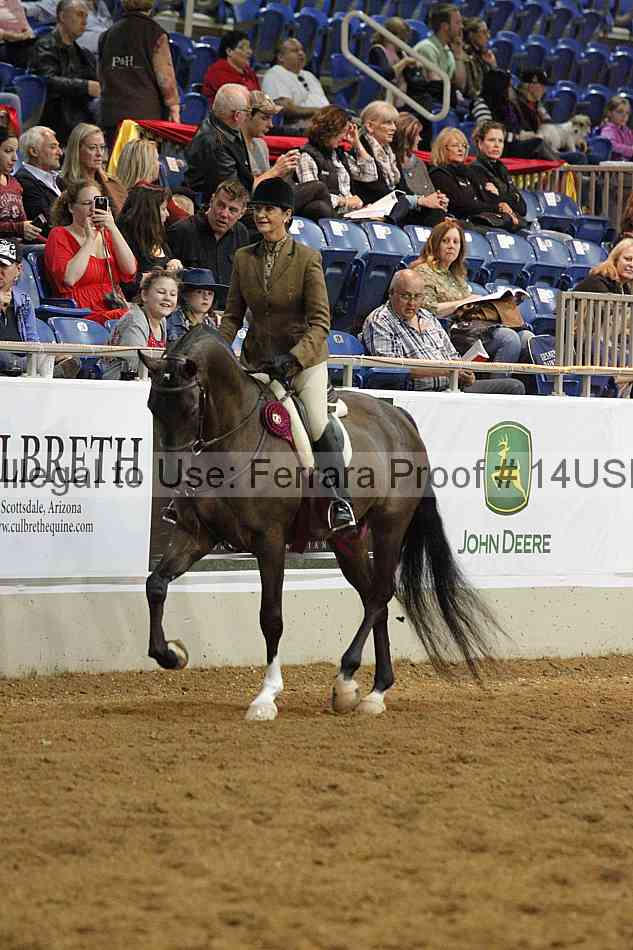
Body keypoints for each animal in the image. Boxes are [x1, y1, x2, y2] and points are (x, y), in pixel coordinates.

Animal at [141, 325, 498, 720]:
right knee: (373, 597)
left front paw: (266, 696)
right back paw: (375, 690)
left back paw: (347, 679)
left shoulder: (270, 540)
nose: (172, 476)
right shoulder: (197, 534)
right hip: (348, 539)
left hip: (389, 527)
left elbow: (271, 616)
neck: (235, 436)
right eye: (152, 406)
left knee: (380, 594)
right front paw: (171, 655)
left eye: (190, 407)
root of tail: (399, 417)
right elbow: (156, 585)